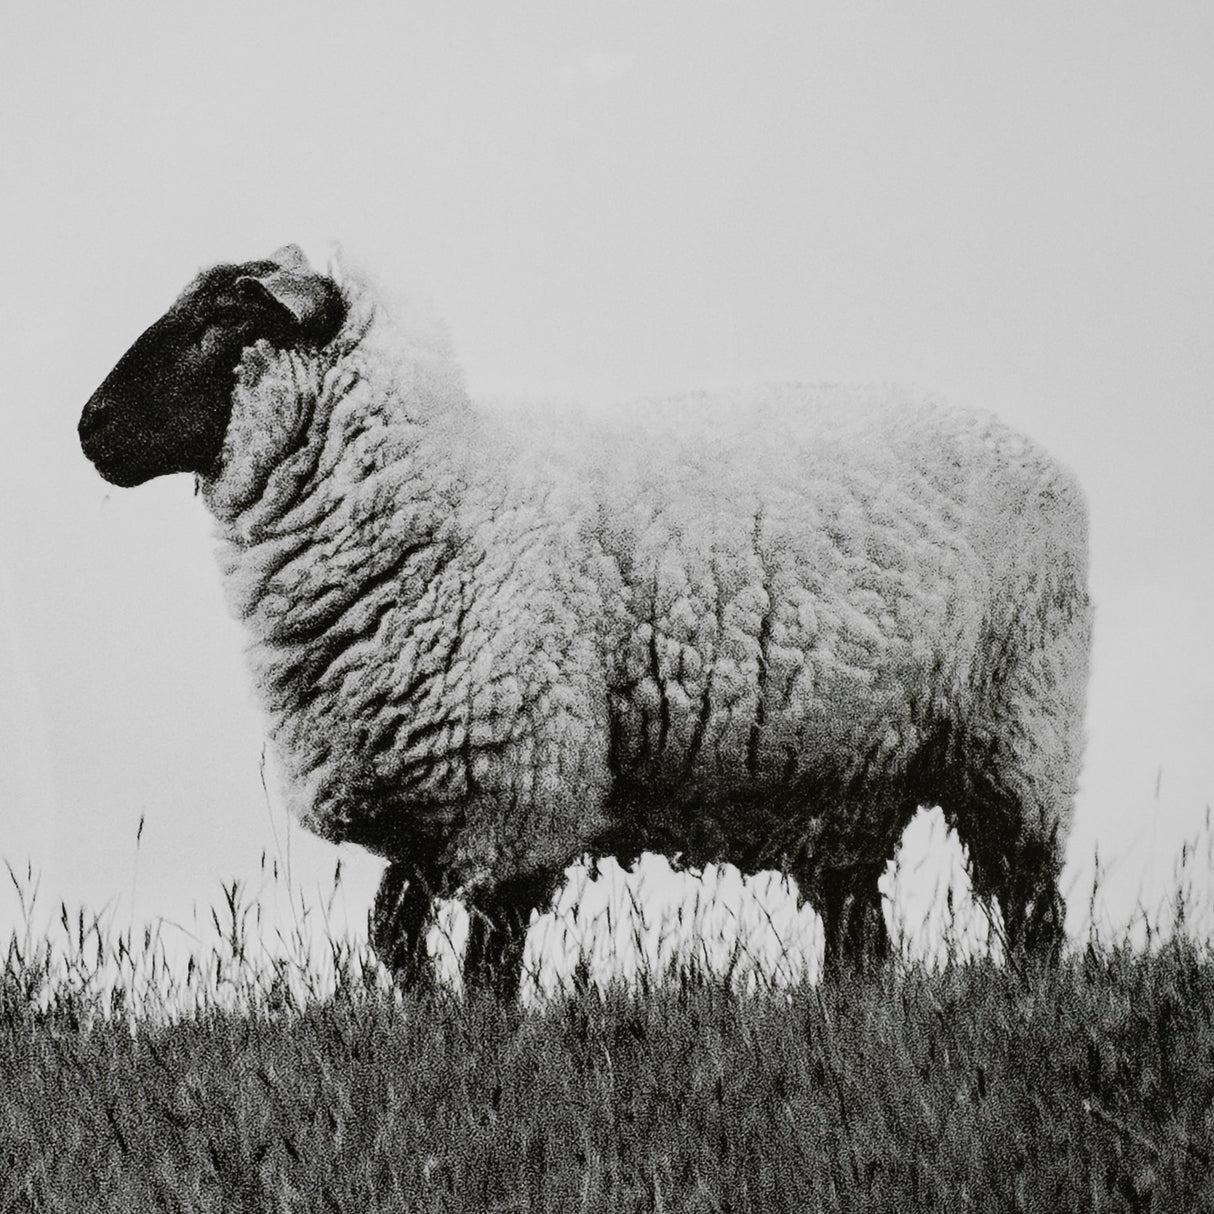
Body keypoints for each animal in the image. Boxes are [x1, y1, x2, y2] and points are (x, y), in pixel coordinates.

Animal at [78, 244, 1092, 999]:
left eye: (223, 319)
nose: (88, 427)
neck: (448, 499)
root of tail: (1044, 455)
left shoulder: (520, 784)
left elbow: (488, 967)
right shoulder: (431, 797)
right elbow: (393, 938)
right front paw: (425, 1023)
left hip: (1016, 734)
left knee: (1032, 911)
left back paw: (1030, 1006)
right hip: (846, 775)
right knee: (859, 940)